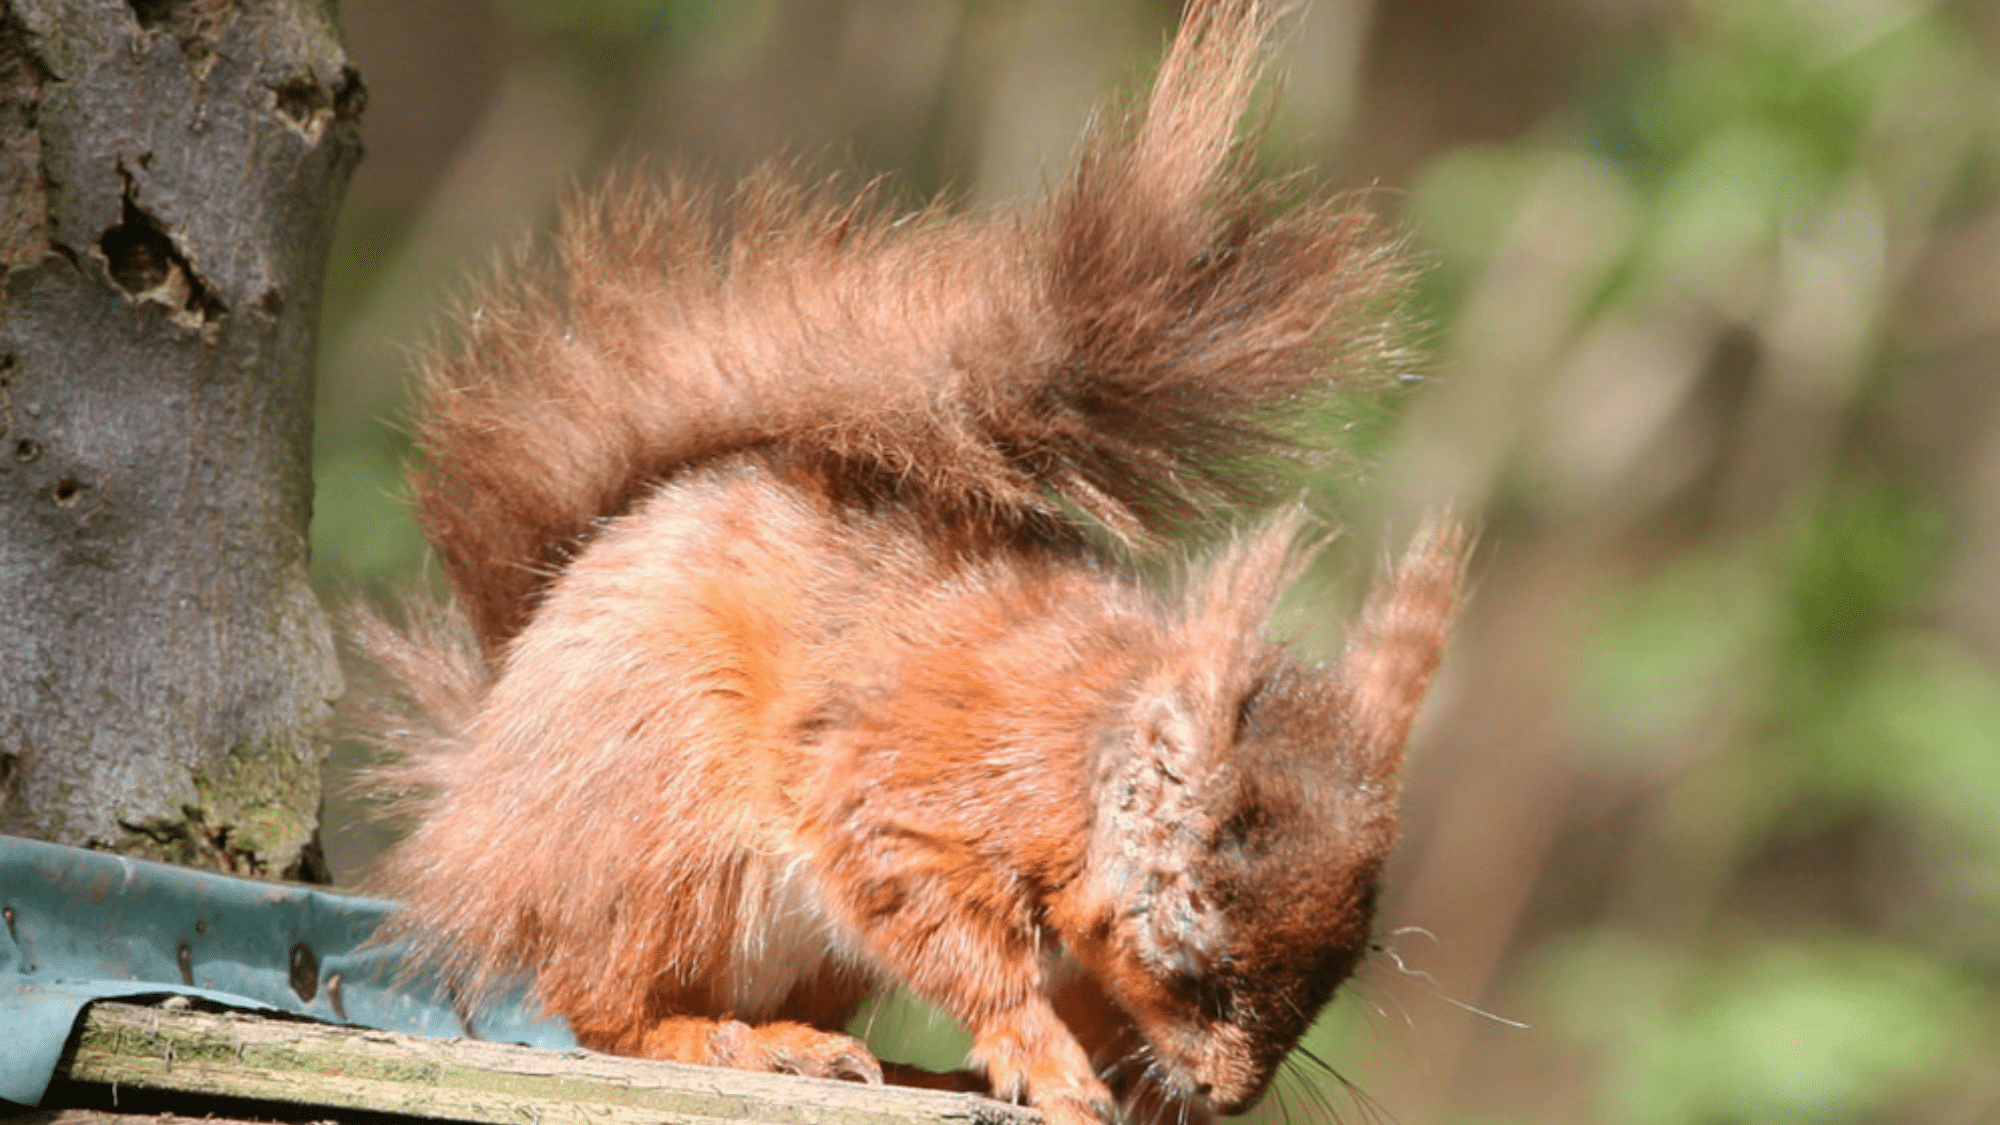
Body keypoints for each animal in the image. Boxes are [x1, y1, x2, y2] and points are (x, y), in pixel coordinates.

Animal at [352, 2, 1467, 1123]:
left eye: (1349, 958)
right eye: (1187, 921)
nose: (1226, 1095)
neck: (1073, 756)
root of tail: (480, 810)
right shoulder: (904, 795)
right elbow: (942, 925)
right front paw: (1053, 1064)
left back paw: (903, 1066)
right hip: (665, 834)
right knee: (601, 1008)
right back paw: (742, 1046)